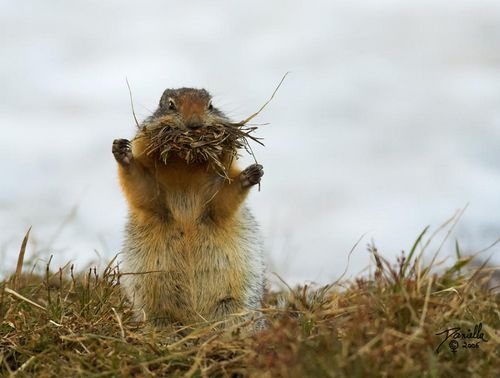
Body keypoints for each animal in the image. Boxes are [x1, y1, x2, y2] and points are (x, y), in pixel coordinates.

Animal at [113, 87, 266, 326]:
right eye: (170, 105)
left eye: (210, 105)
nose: (194, 125)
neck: (186, 164)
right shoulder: (153, 182)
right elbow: (143, 189)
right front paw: (121, 151)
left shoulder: (218, 180)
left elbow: (223, 201)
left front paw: (252, 173)